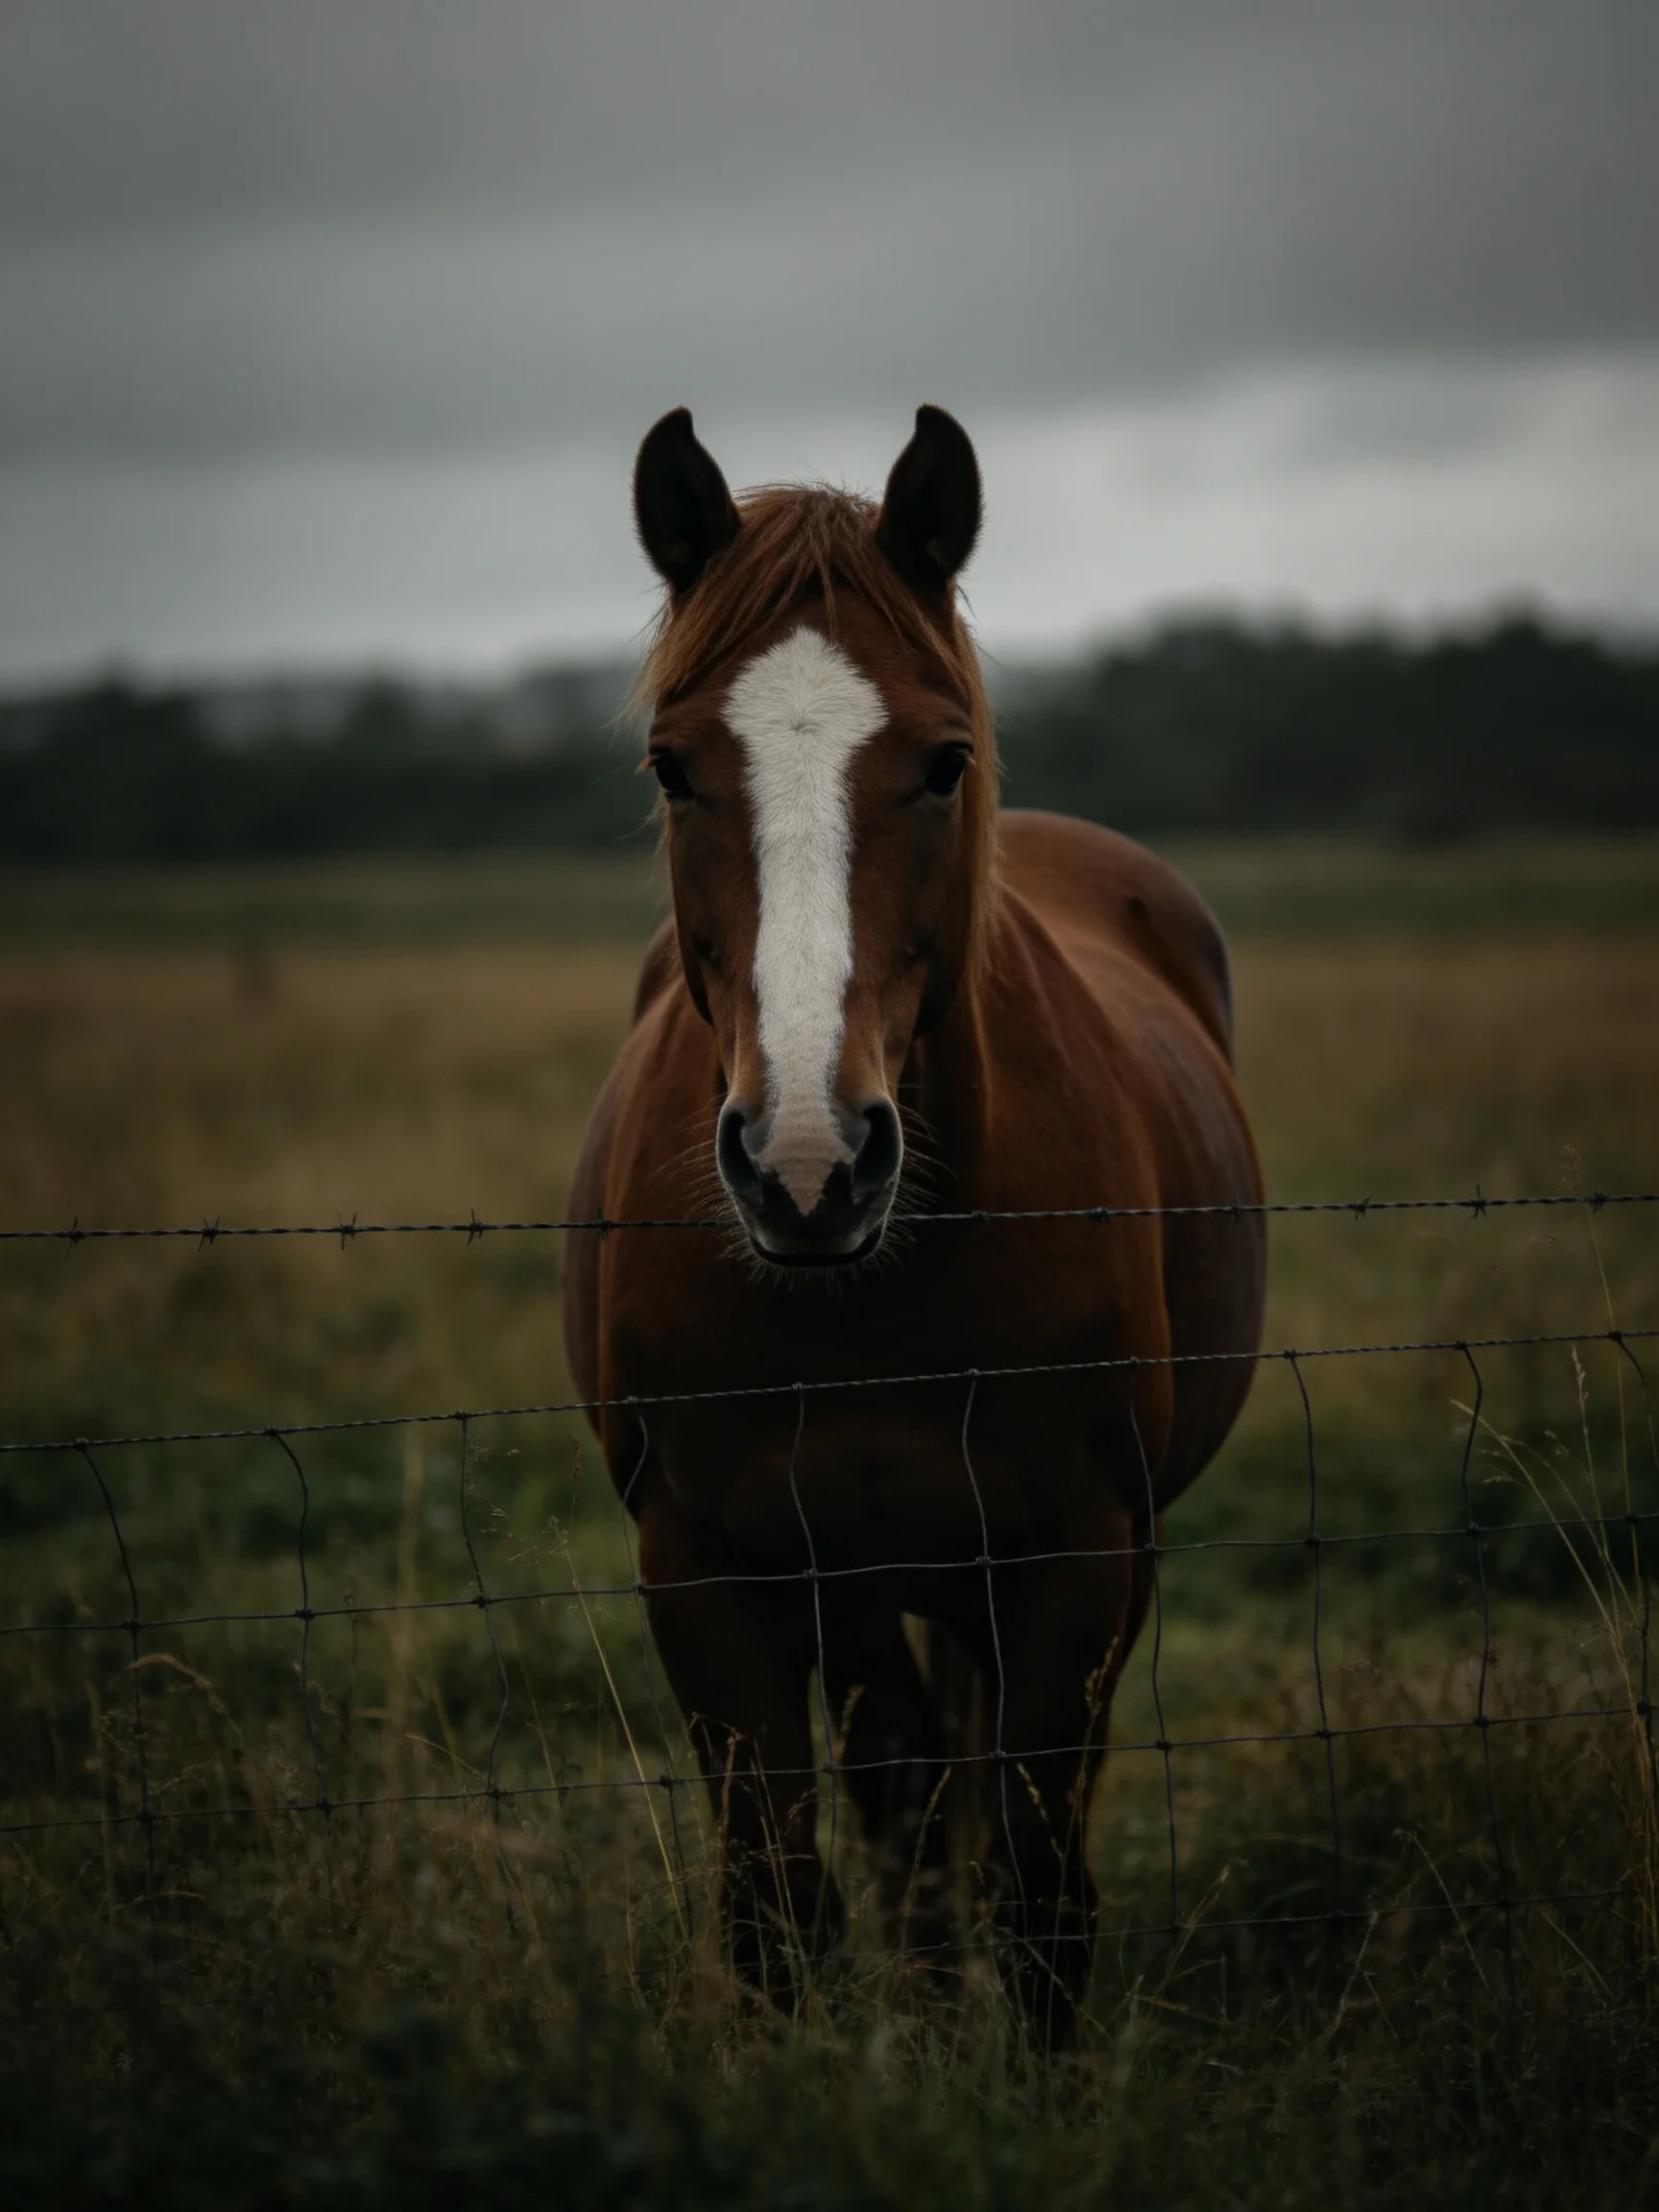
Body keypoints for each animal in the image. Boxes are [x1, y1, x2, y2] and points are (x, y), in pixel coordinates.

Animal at [563, 404, 1265, 2039]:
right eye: (671, 767)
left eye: (946, 763)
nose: (809, 1164)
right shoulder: (711, 1573)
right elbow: (777, 1905)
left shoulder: (1076, 1562)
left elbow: (1043, 1891)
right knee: (901, 1799)